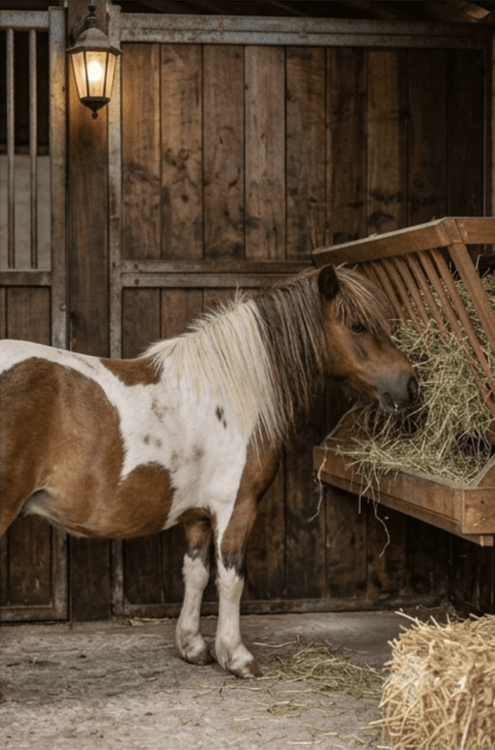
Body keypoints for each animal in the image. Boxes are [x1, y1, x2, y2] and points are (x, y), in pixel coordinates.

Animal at [0, 264, 418, 679]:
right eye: (359, 326)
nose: (410, 385)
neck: (230, 392)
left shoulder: (197, 515)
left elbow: (196, 573)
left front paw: (193, 646)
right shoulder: (236, 507)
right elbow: (231, 578)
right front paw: (235, 655)